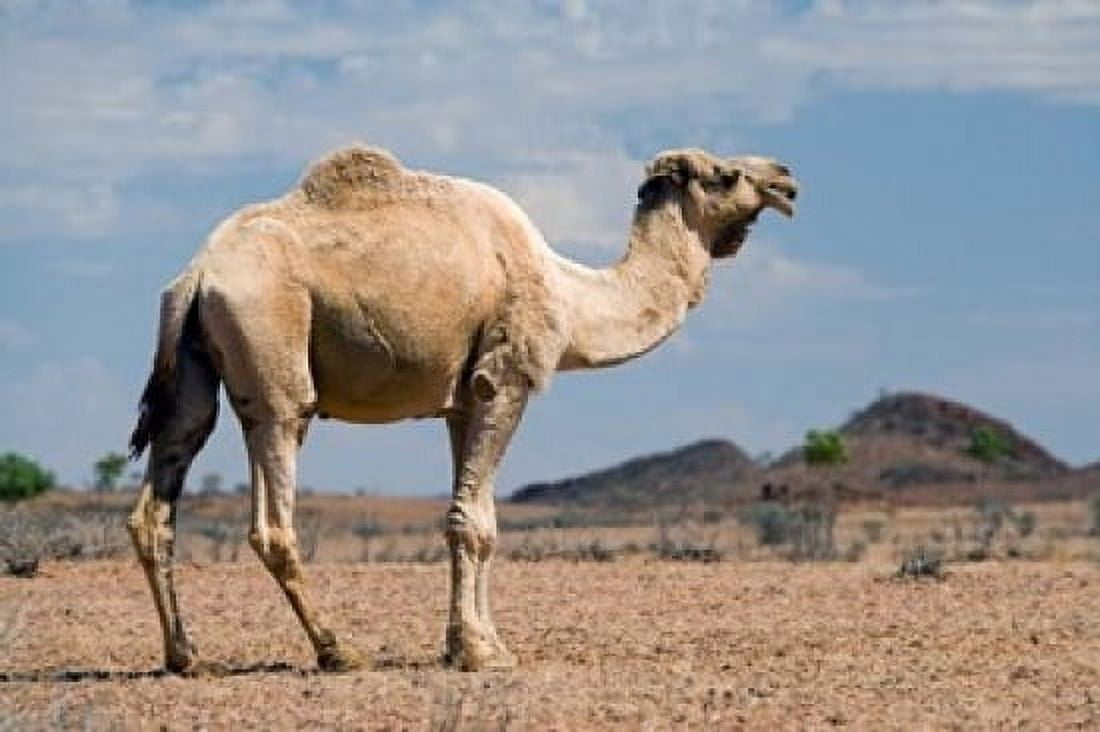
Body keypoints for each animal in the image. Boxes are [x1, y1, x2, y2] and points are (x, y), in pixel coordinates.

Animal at [127, 144, 798, 673]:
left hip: (195, 365)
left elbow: (480, 521)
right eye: (728, 174)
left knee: (162, 491)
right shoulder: (505, 379)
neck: (570, 295)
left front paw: (479, 643)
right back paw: (338, 650)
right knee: (274, 502)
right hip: (272, 350)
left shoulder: (460, 402)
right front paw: (479, 653)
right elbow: (473, 523)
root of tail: (196, 273)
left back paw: (186, 657)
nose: (787, 181)